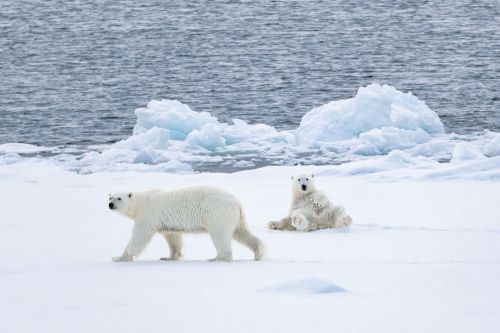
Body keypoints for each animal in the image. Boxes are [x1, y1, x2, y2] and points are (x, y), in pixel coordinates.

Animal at [108, 185, 266, 260]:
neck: (141, 202)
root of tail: (237, 202)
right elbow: (173, 238)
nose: (110, 205)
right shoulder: (166, 223)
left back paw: (217, 258)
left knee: (220, 235)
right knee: (241, 232)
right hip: (234, 217)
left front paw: (119, 257)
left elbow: (139, 237)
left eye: (119, 198)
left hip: (217, 213)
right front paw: (169, 257)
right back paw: (258, 252)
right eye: (110, 197)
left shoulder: (148, 214)